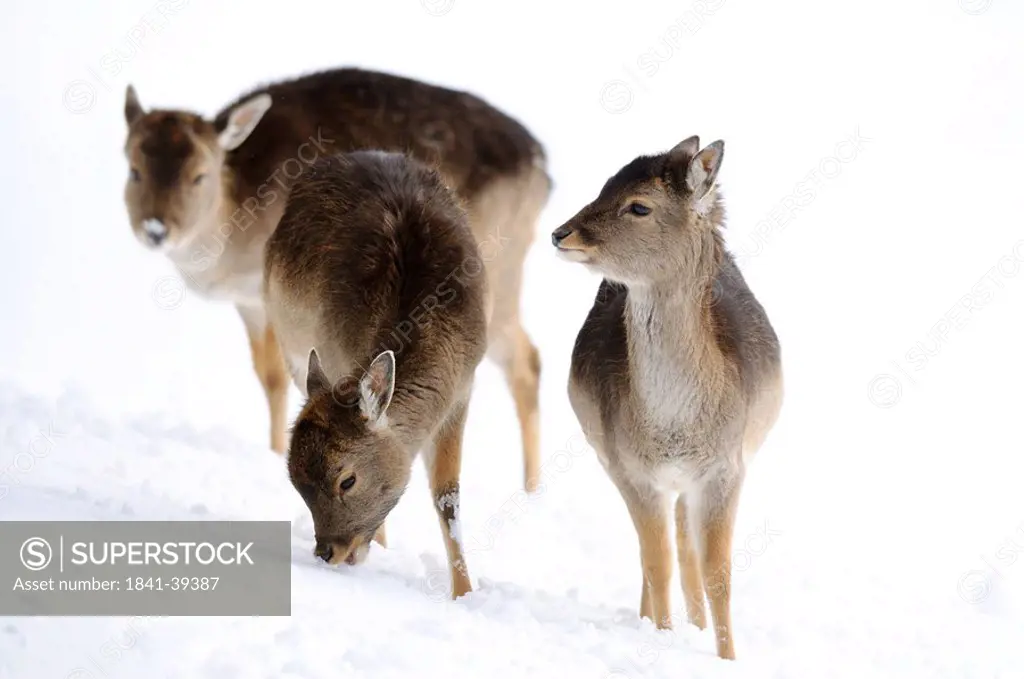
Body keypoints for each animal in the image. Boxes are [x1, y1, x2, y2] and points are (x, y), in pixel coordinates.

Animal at [121, 66, 552, 491]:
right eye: (133, 168)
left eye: (199, 175)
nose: (156, 230)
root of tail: (543, 170)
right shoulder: (250, 304)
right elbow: (267, 376)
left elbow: (278, 375)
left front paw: (277, 453)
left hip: (501, 271)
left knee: (525, 360)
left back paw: (532, 487)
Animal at [264, 151, 487, 598]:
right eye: (296, 481)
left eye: (347, 480)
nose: (327, 552)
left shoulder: (463, 388)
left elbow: (447, 497)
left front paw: (465, 592)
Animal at [552, 134, 782, 659]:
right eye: (604, 185)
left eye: (639, 205)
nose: (561, 234)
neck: (675, 428)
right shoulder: (629, 468)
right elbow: (657, 564)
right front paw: (658, 637)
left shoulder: (726, 467)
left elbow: (719, 573)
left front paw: (727, 657)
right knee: (661, 550)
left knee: (685, 543)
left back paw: (695, 624)